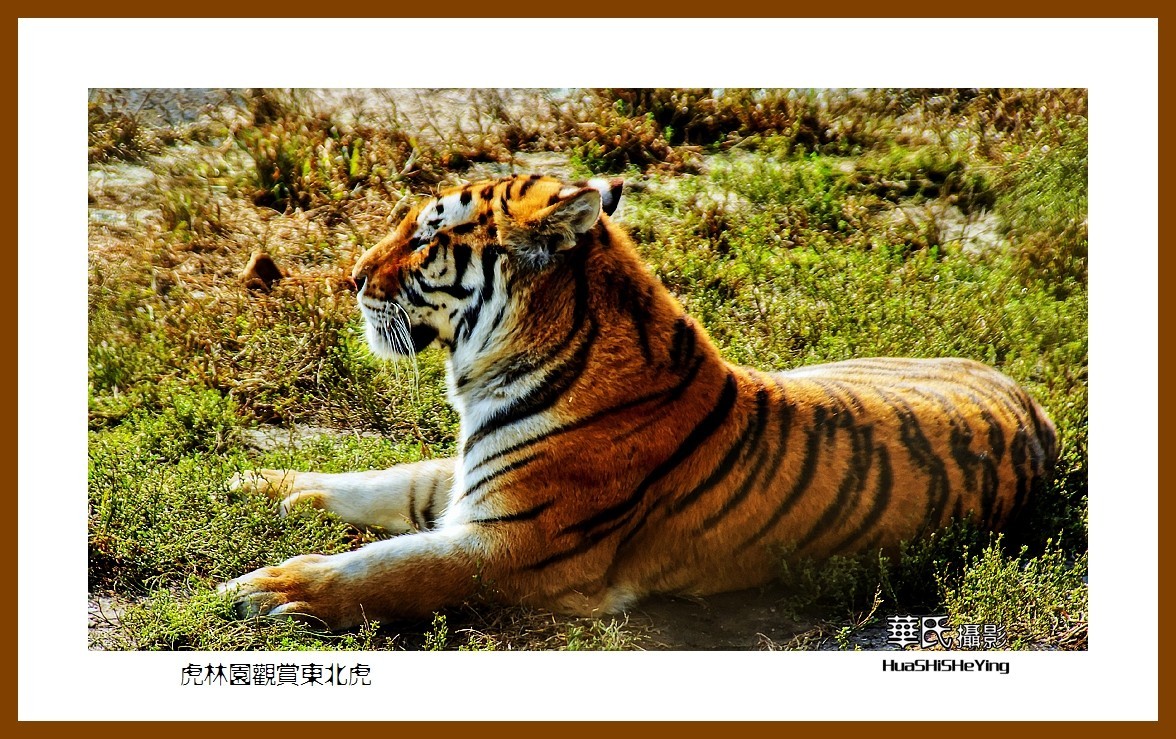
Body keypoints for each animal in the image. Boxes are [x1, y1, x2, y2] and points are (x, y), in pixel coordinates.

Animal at [222, 174, 1058, 630]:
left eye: (428, 238)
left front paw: (269, 587)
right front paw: (263, 485)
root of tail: (1029, 398)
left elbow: (388, 570)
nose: (353, 276)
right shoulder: (466, 483)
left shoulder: (515, 544)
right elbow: (375, 482)